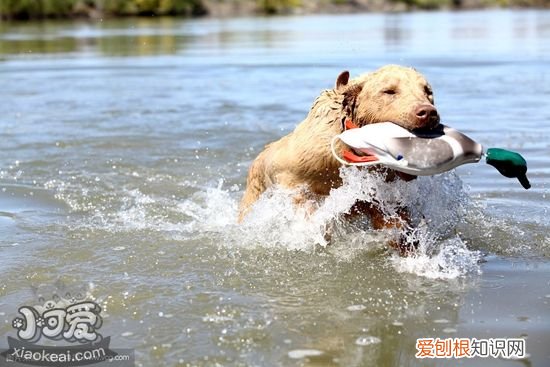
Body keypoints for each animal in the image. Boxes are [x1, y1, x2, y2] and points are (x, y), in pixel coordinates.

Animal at [239, 65, 442, 253]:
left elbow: (394, 221)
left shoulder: (381, 192)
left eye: (427, 91)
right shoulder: (297, 177)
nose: (428, 113)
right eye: (389, 91)